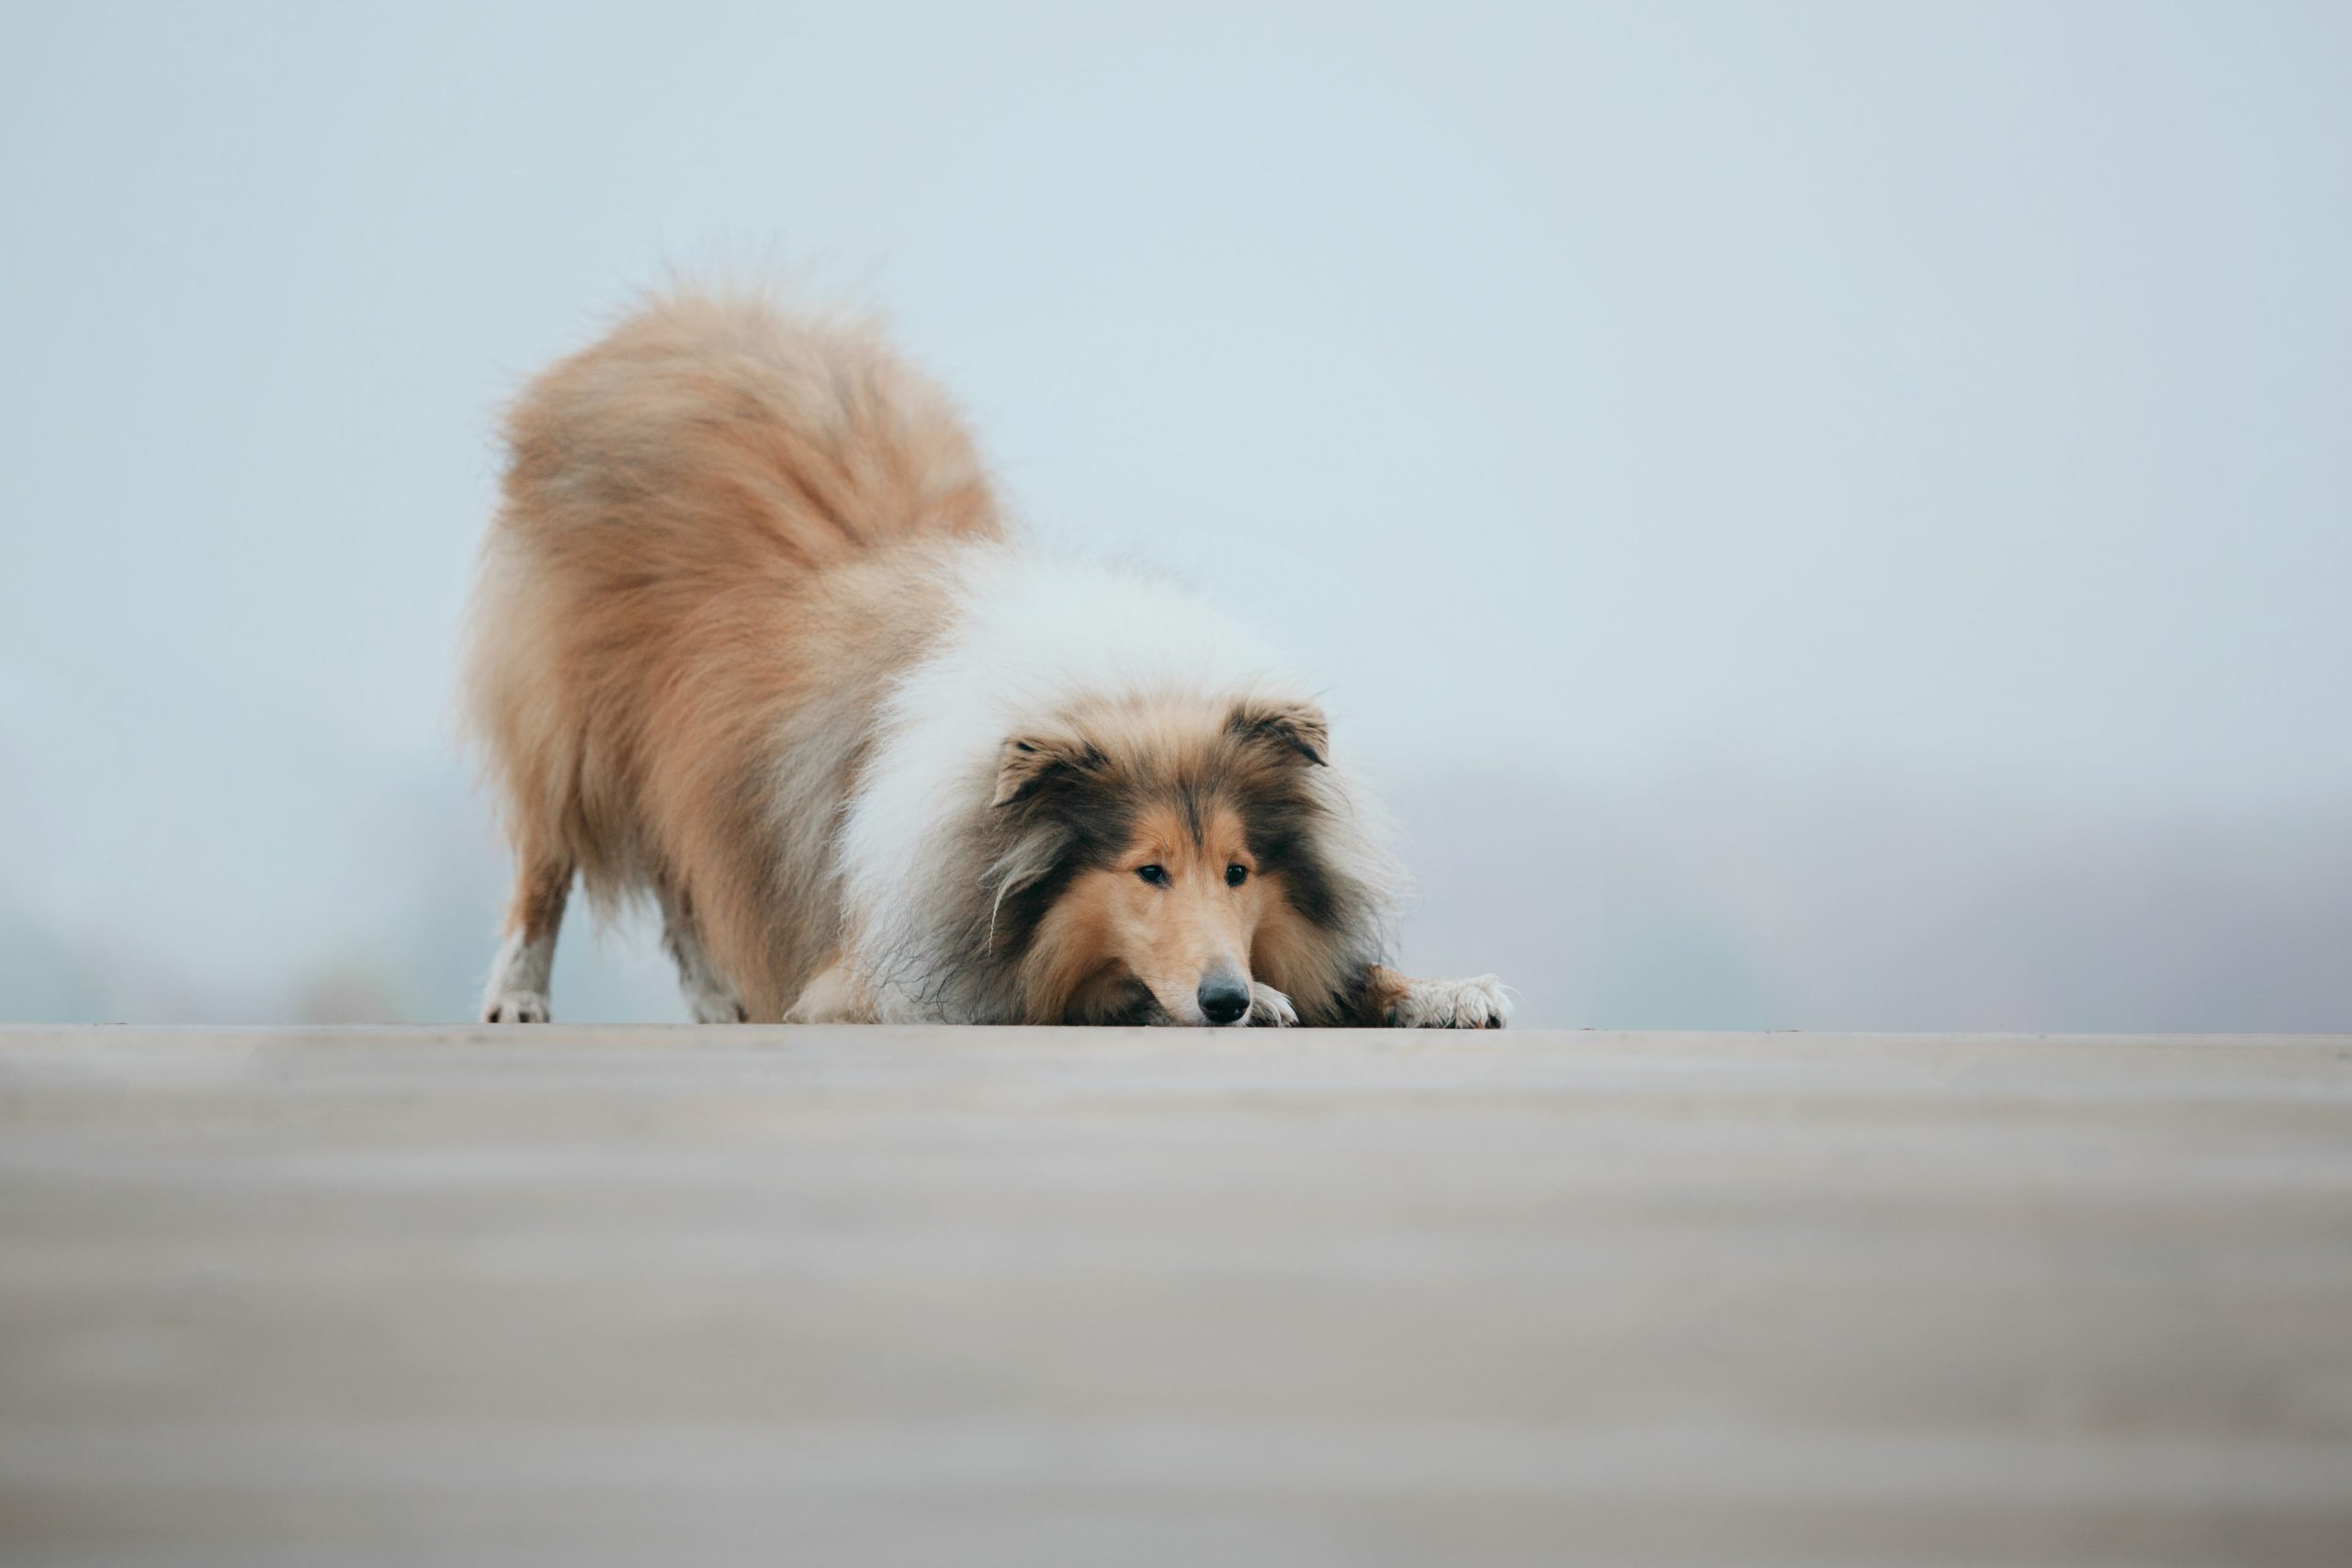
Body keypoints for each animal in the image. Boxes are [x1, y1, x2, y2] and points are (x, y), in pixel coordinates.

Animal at [463, 291, 1505, 1029]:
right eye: (1147, 872)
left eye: (1240, 871)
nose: (1224, 997)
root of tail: (680, 321)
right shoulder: (880, 968)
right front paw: (1273, 1001)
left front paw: (1441, 990)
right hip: (569, 723)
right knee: (543, 865)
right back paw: (518, 997)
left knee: (688, 886)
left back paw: (721, 1001)